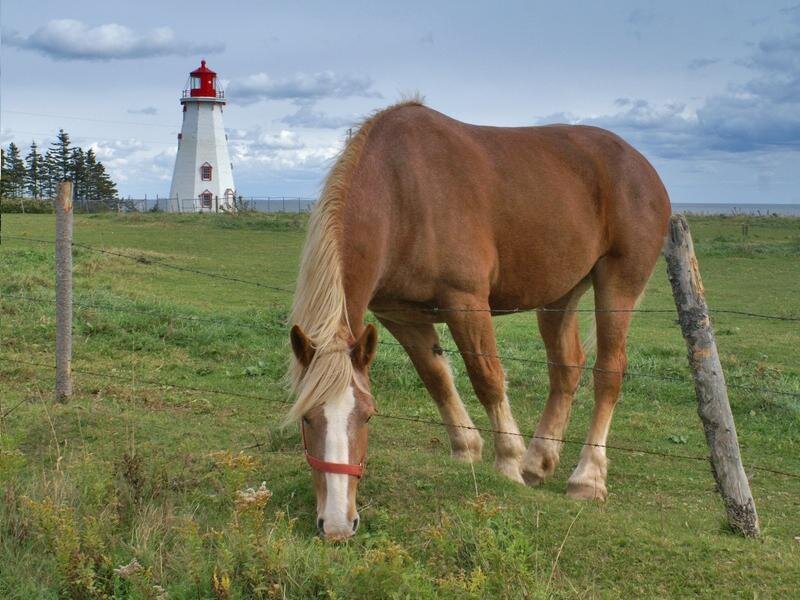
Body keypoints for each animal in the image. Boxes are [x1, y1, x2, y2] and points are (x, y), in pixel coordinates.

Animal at [287, 99, 670, 540]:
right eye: (306, 417)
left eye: (367, 414)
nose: (335, 524)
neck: (401, 191)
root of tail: (642, 166)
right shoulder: (400, 314)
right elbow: (436, 378)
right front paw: (468, 450)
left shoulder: (466, 302)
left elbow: (486, 379)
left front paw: (507, 463)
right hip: (560, 294)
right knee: (566, 368)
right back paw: (539, 461)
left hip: (618, 284)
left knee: (609, 371)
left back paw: (586, 478)